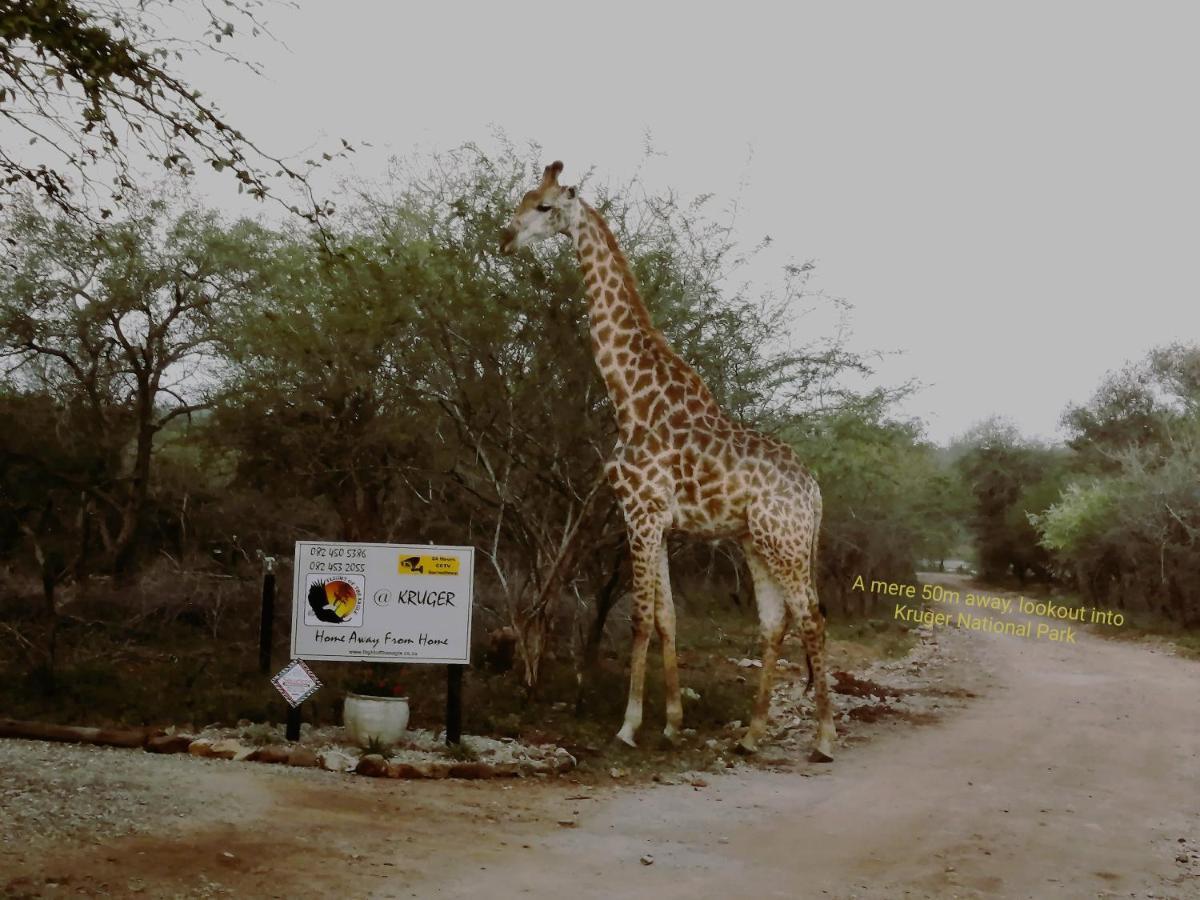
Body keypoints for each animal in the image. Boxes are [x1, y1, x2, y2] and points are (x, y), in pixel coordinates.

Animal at [496, 160, 835, 763]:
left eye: (544, 206)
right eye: (523, 197)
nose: (505, 238)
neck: (631, 396)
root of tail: (814, 491)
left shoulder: (641, 512)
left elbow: (640, 618)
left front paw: (629, 726)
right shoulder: (655, 519)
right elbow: (668, 617)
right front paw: (674, 724)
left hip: (787, 542)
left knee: (812, 620)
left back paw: (823, 739)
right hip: (758, 542)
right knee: (776, 623)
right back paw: (751, 735)